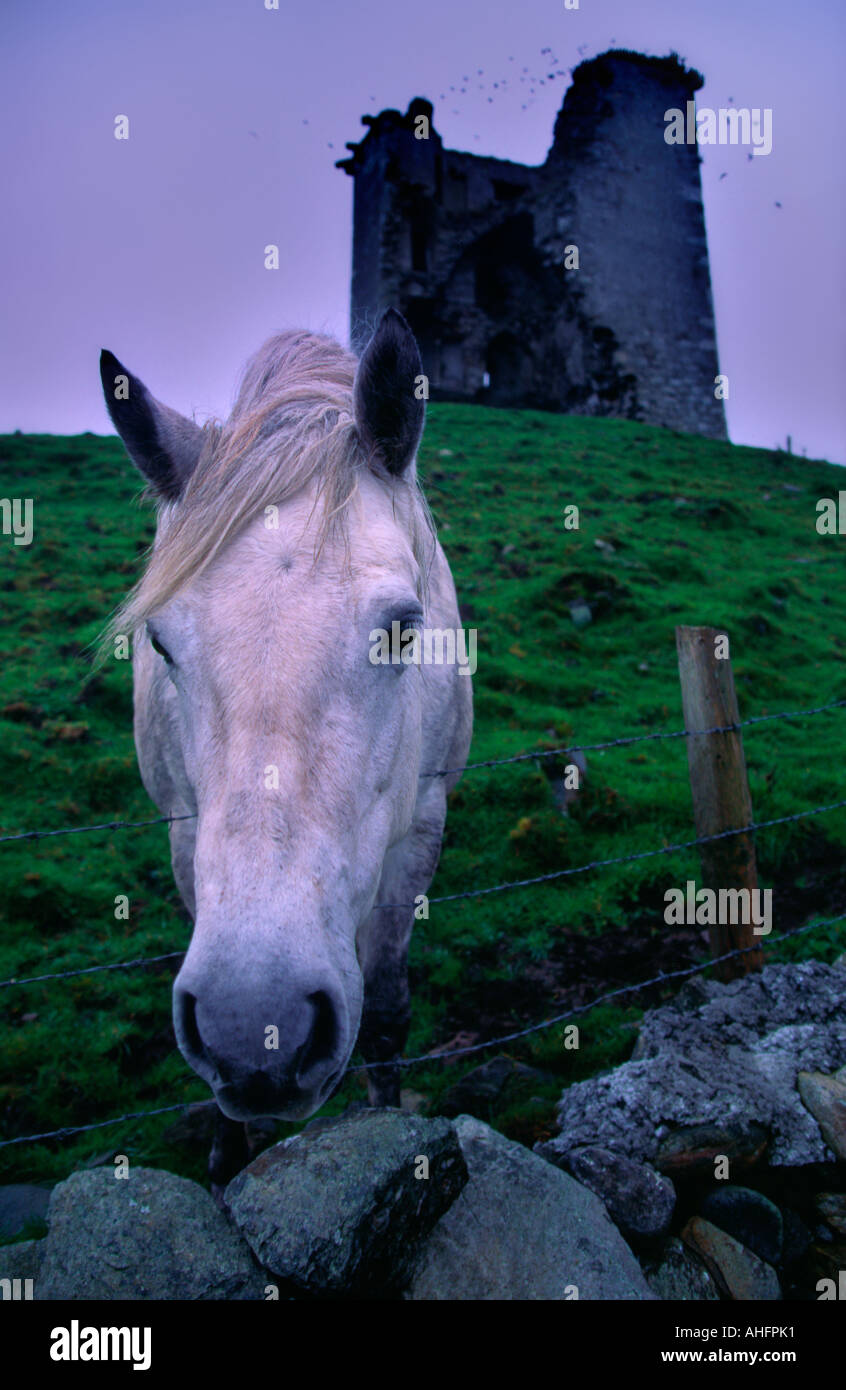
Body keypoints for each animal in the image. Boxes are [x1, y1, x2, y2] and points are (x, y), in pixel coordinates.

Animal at [100, 312, 472, 1184]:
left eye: (403, 629)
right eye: (159, 643)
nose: (256, 1031)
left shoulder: (421, 824)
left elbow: (389, 1009)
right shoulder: (185, 832)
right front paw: (228, 1150)